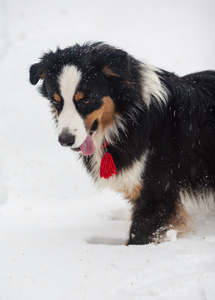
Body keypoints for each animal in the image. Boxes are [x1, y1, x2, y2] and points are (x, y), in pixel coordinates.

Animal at [29, 41, 215, 244]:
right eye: (56, 101)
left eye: (86, 100)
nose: (65, 140)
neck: (127, 120)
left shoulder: (155, 192)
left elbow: (137, 236)